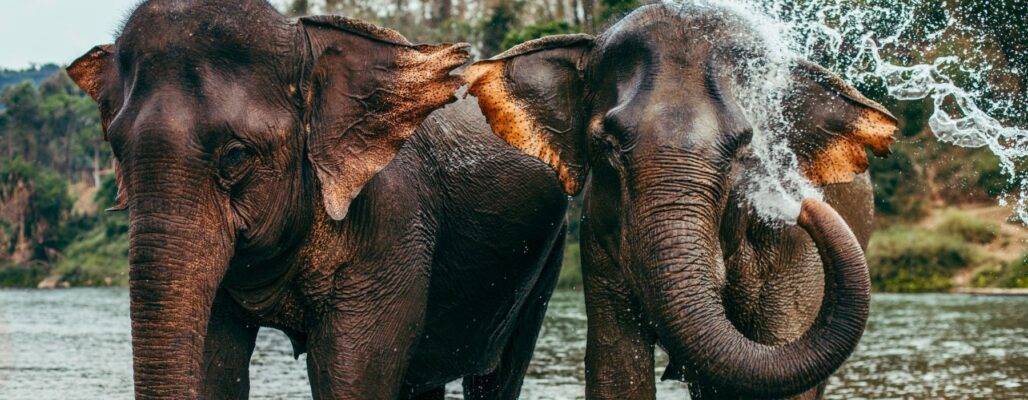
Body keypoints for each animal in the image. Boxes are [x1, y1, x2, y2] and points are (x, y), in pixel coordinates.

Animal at [66, 1, 570, 399]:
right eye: (116, 151)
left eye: (235, 156)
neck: (305, 41)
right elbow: (215, 365)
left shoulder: (393, 222)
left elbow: (350, 379)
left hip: (547, 259)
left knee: (497, 376)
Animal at [465, 3, 897, 399]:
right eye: (608, 145)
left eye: (745, 148)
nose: (803, 206)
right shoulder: (600, 235)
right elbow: (617, 370)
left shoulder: (794, 253)